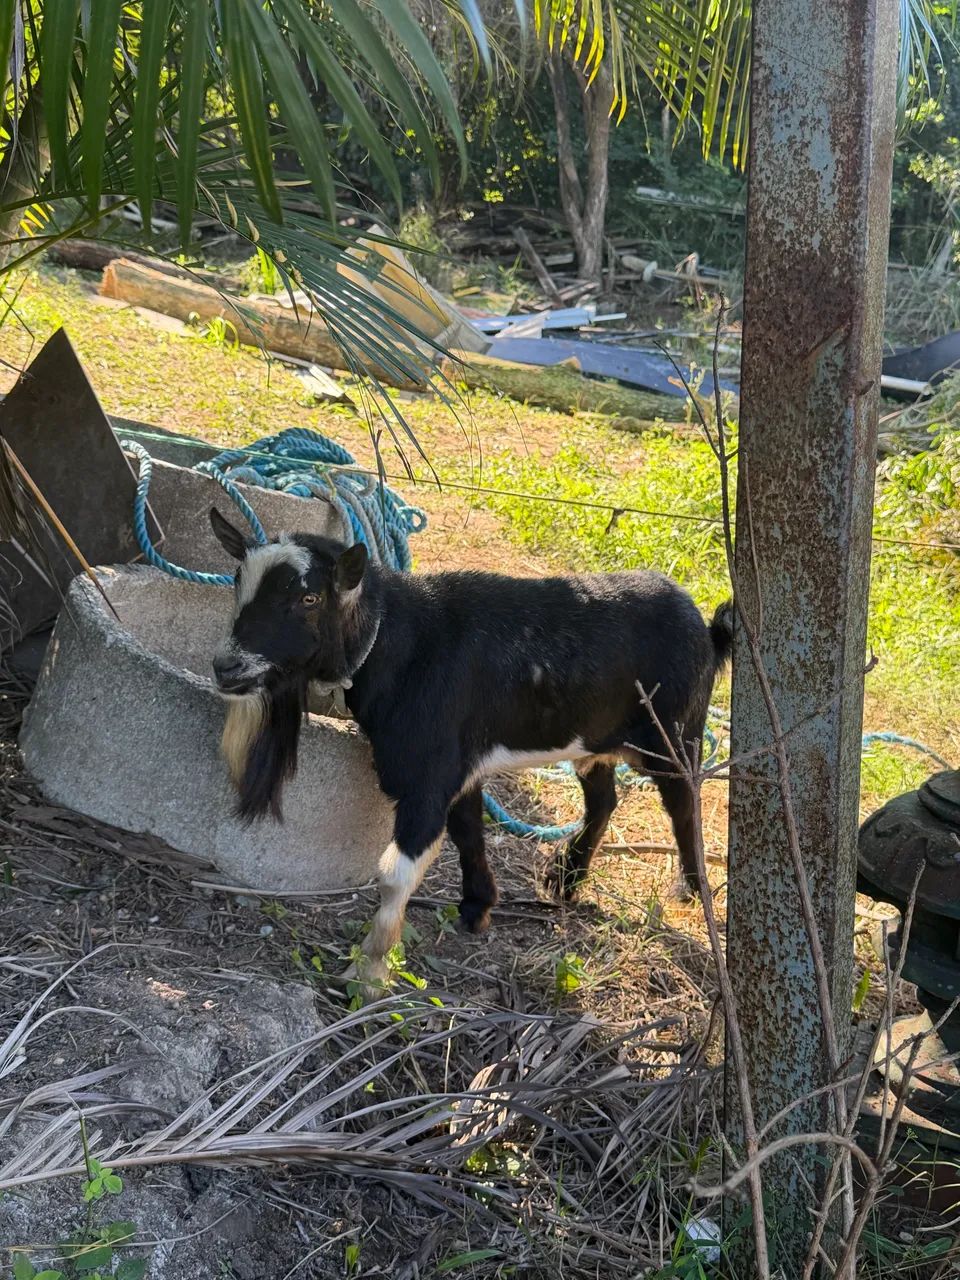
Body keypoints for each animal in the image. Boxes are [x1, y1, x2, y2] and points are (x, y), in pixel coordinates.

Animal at [209, 507, 733, 991]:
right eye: (237, 582)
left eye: (309, 597)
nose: (226, 667)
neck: (401, 642)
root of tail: (704, 625)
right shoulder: (460, 765)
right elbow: (467, 831)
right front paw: (477, 907)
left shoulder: (428, 777)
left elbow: (395, 874)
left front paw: (369, 971)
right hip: (595, 739)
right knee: (604, 799)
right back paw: (565, 880)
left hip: (676, 732)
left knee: (684, 804)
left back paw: (688, 889)